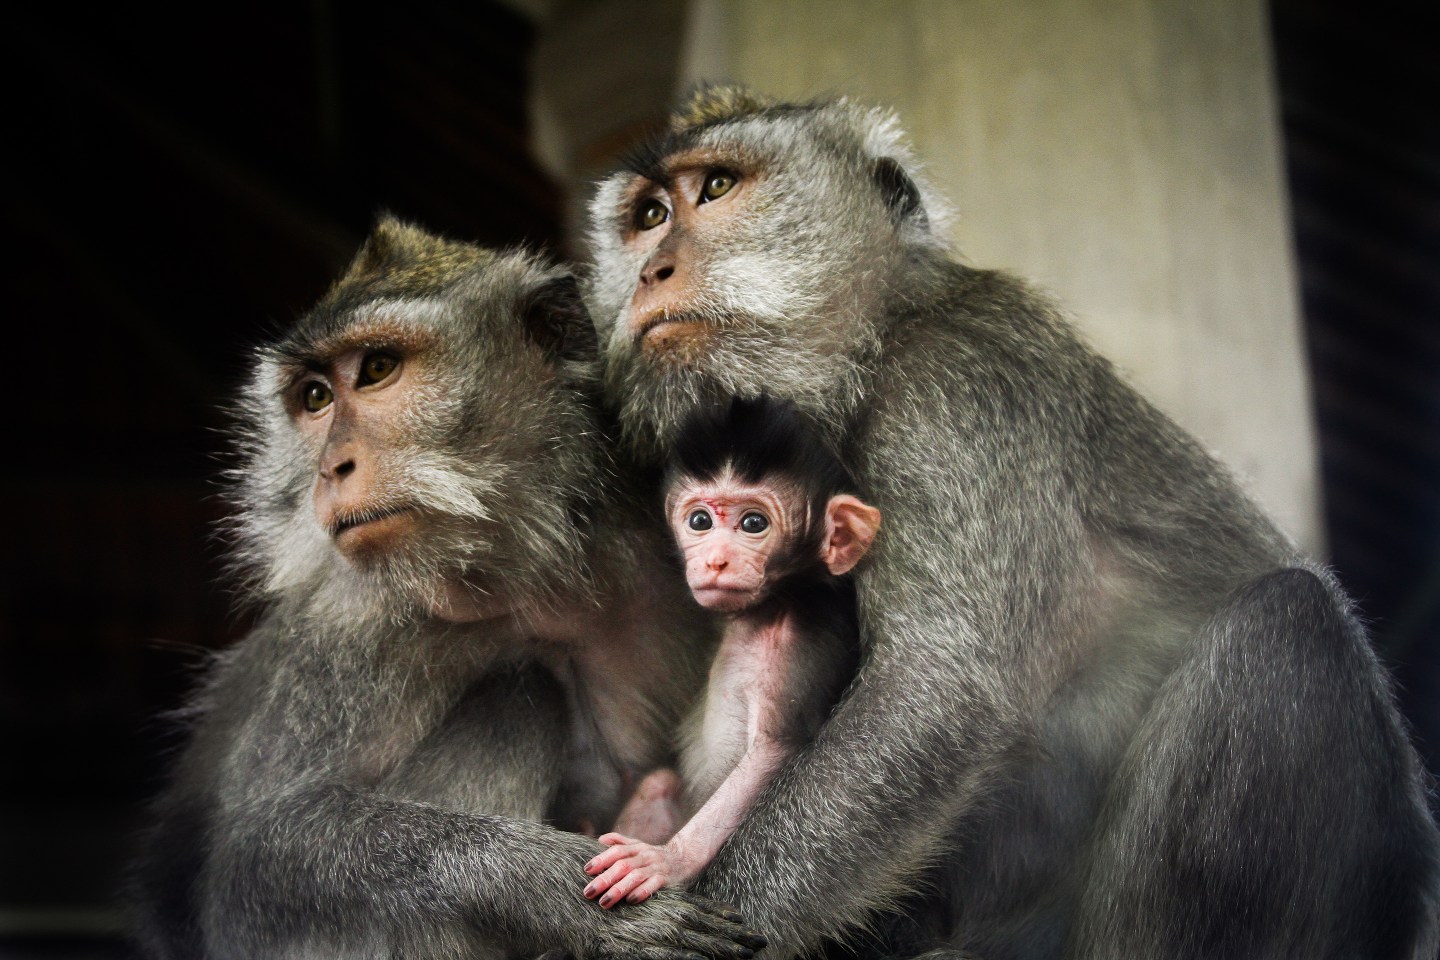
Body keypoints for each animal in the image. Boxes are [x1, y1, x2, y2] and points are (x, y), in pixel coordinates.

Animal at [129, 217, 768, 960]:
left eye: (377, 369)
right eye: (315, 398)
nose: (330, 469)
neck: (531, 567)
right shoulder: (348, 632)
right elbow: (250, 860)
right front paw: (547, 886)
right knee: (520, 695)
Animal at [581, 395, 881, 909]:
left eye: (753, 524)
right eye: (700, 521)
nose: (716, 560)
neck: (776, 603)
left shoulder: (804, 637)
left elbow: (772, 753)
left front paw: (666, 861)